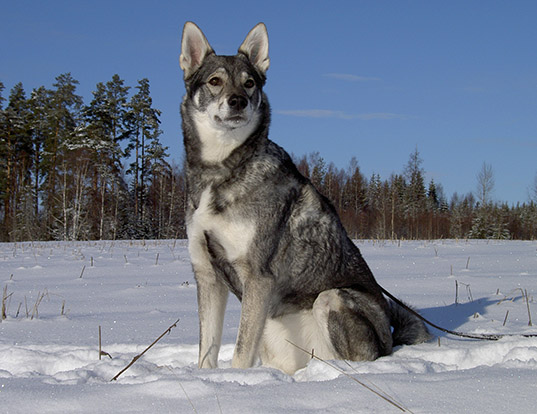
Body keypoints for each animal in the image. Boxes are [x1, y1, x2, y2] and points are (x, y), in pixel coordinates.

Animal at [178, 21, 430, 374]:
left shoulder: (257, 277)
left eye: (249, 83)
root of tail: (390, 340)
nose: (238, 101)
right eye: (215, 81)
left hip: (331, 298)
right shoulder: (207, 275)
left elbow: (240, 354)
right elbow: (207, 352)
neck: (221, 169)